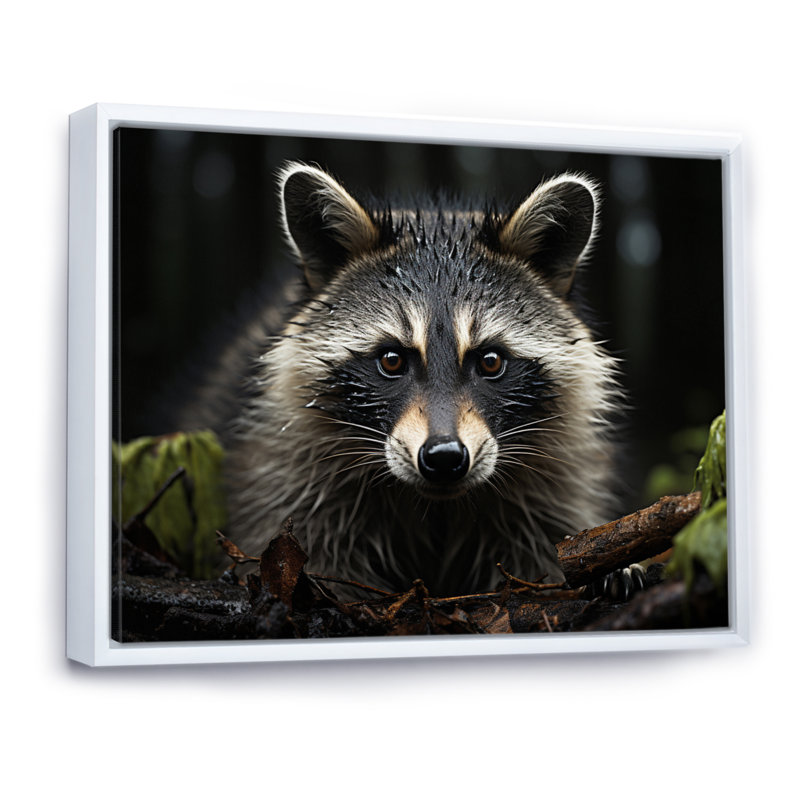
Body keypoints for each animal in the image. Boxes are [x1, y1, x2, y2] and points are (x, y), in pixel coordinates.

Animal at [190, 161, 621, 597]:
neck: (436, 505)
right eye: (392, 361)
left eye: (491, 362)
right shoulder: (285, 472)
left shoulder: (554, 478)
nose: (444, 457)